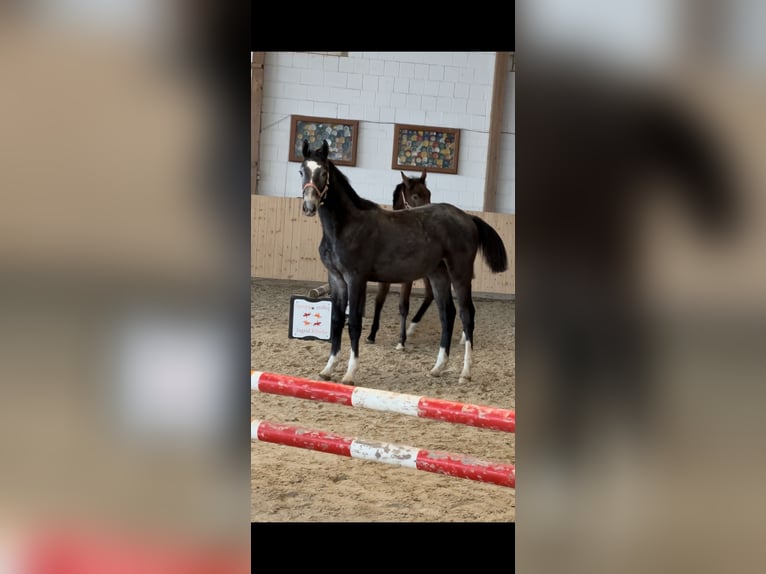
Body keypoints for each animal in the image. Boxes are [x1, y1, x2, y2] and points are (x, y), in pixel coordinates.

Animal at [302, 138, 510, 388]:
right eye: (302, 171)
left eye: (323, 172)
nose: (309, 206)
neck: (346, 226)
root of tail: (467, 217)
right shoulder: (336, 280)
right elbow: (335, 321)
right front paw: (327, 369)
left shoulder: (356, 279)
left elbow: (353, 323)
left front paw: (350, 374)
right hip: (438, 275)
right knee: (447, 314)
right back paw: (438, 368)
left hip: (460, 274)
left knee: (466, 314)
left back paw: (465, 372)